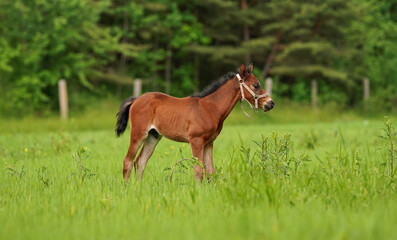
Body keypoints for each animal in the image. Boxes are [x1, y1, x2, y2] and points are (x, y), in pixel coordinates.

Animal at [116, 63, 274, 182]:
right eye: (255, 85)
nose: (270, 104)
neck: (210, 108)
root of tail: (136, 99)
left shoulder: (209, 143)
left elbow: (210, 171)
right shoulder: (196, 140)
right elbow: (198, 170)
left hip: (153, 136)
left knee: (140, 162)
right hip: (138, 135)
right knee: (128, 161)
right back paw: (127, 189)